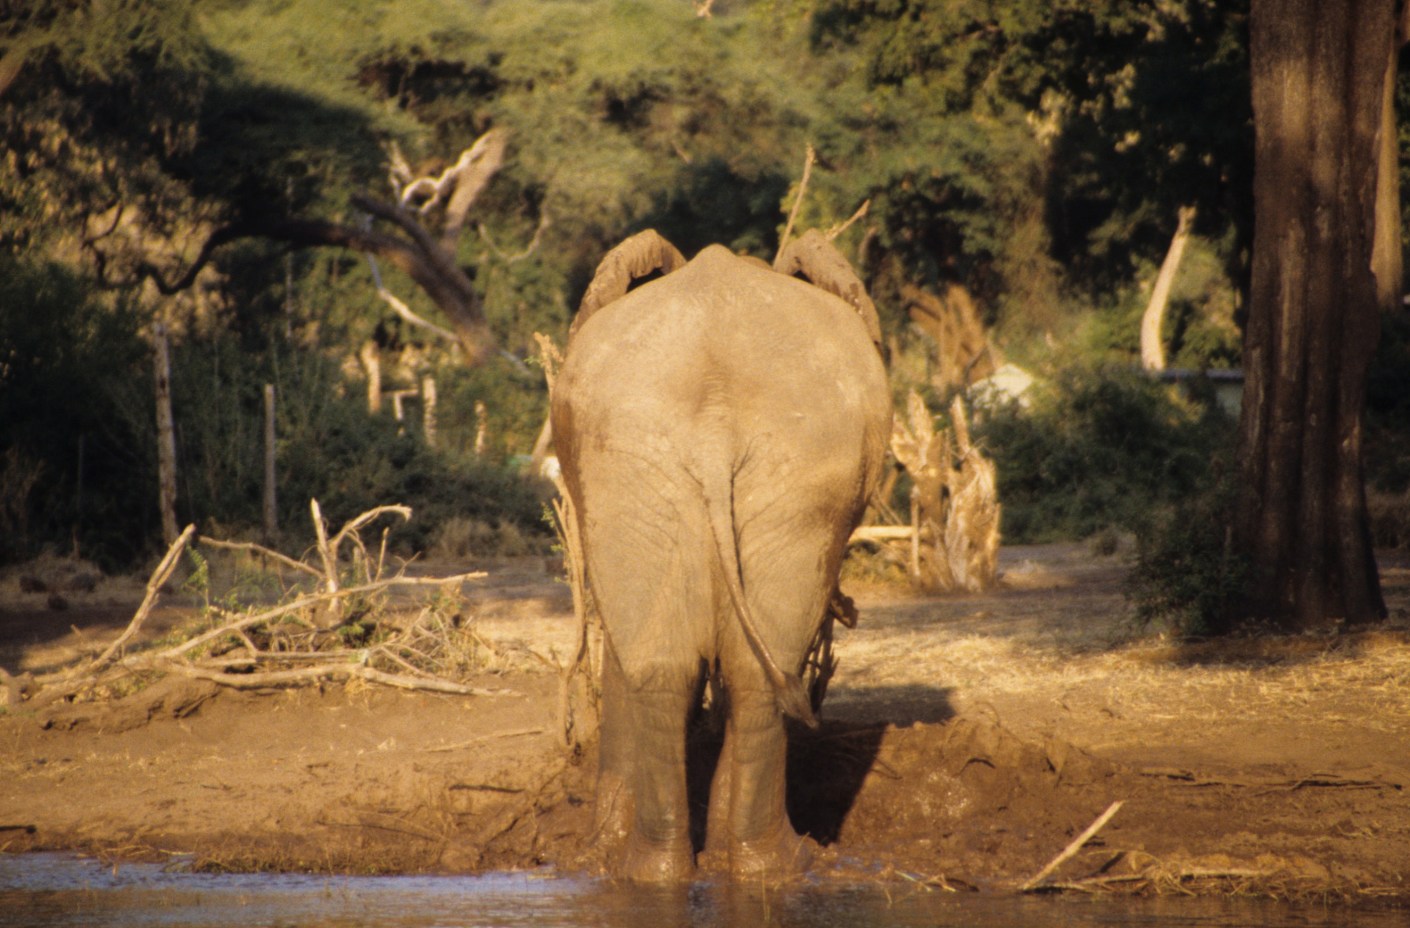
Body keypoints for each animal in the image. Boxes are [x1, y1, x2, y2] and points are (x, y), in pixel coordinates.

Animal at [551, 229, 891, 882]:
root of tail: (715, 417)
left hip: (700, 468)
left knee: (692, 669)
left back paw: (693, 872)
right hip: (690, 466)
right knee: (730, 669)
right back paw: (755, 866)